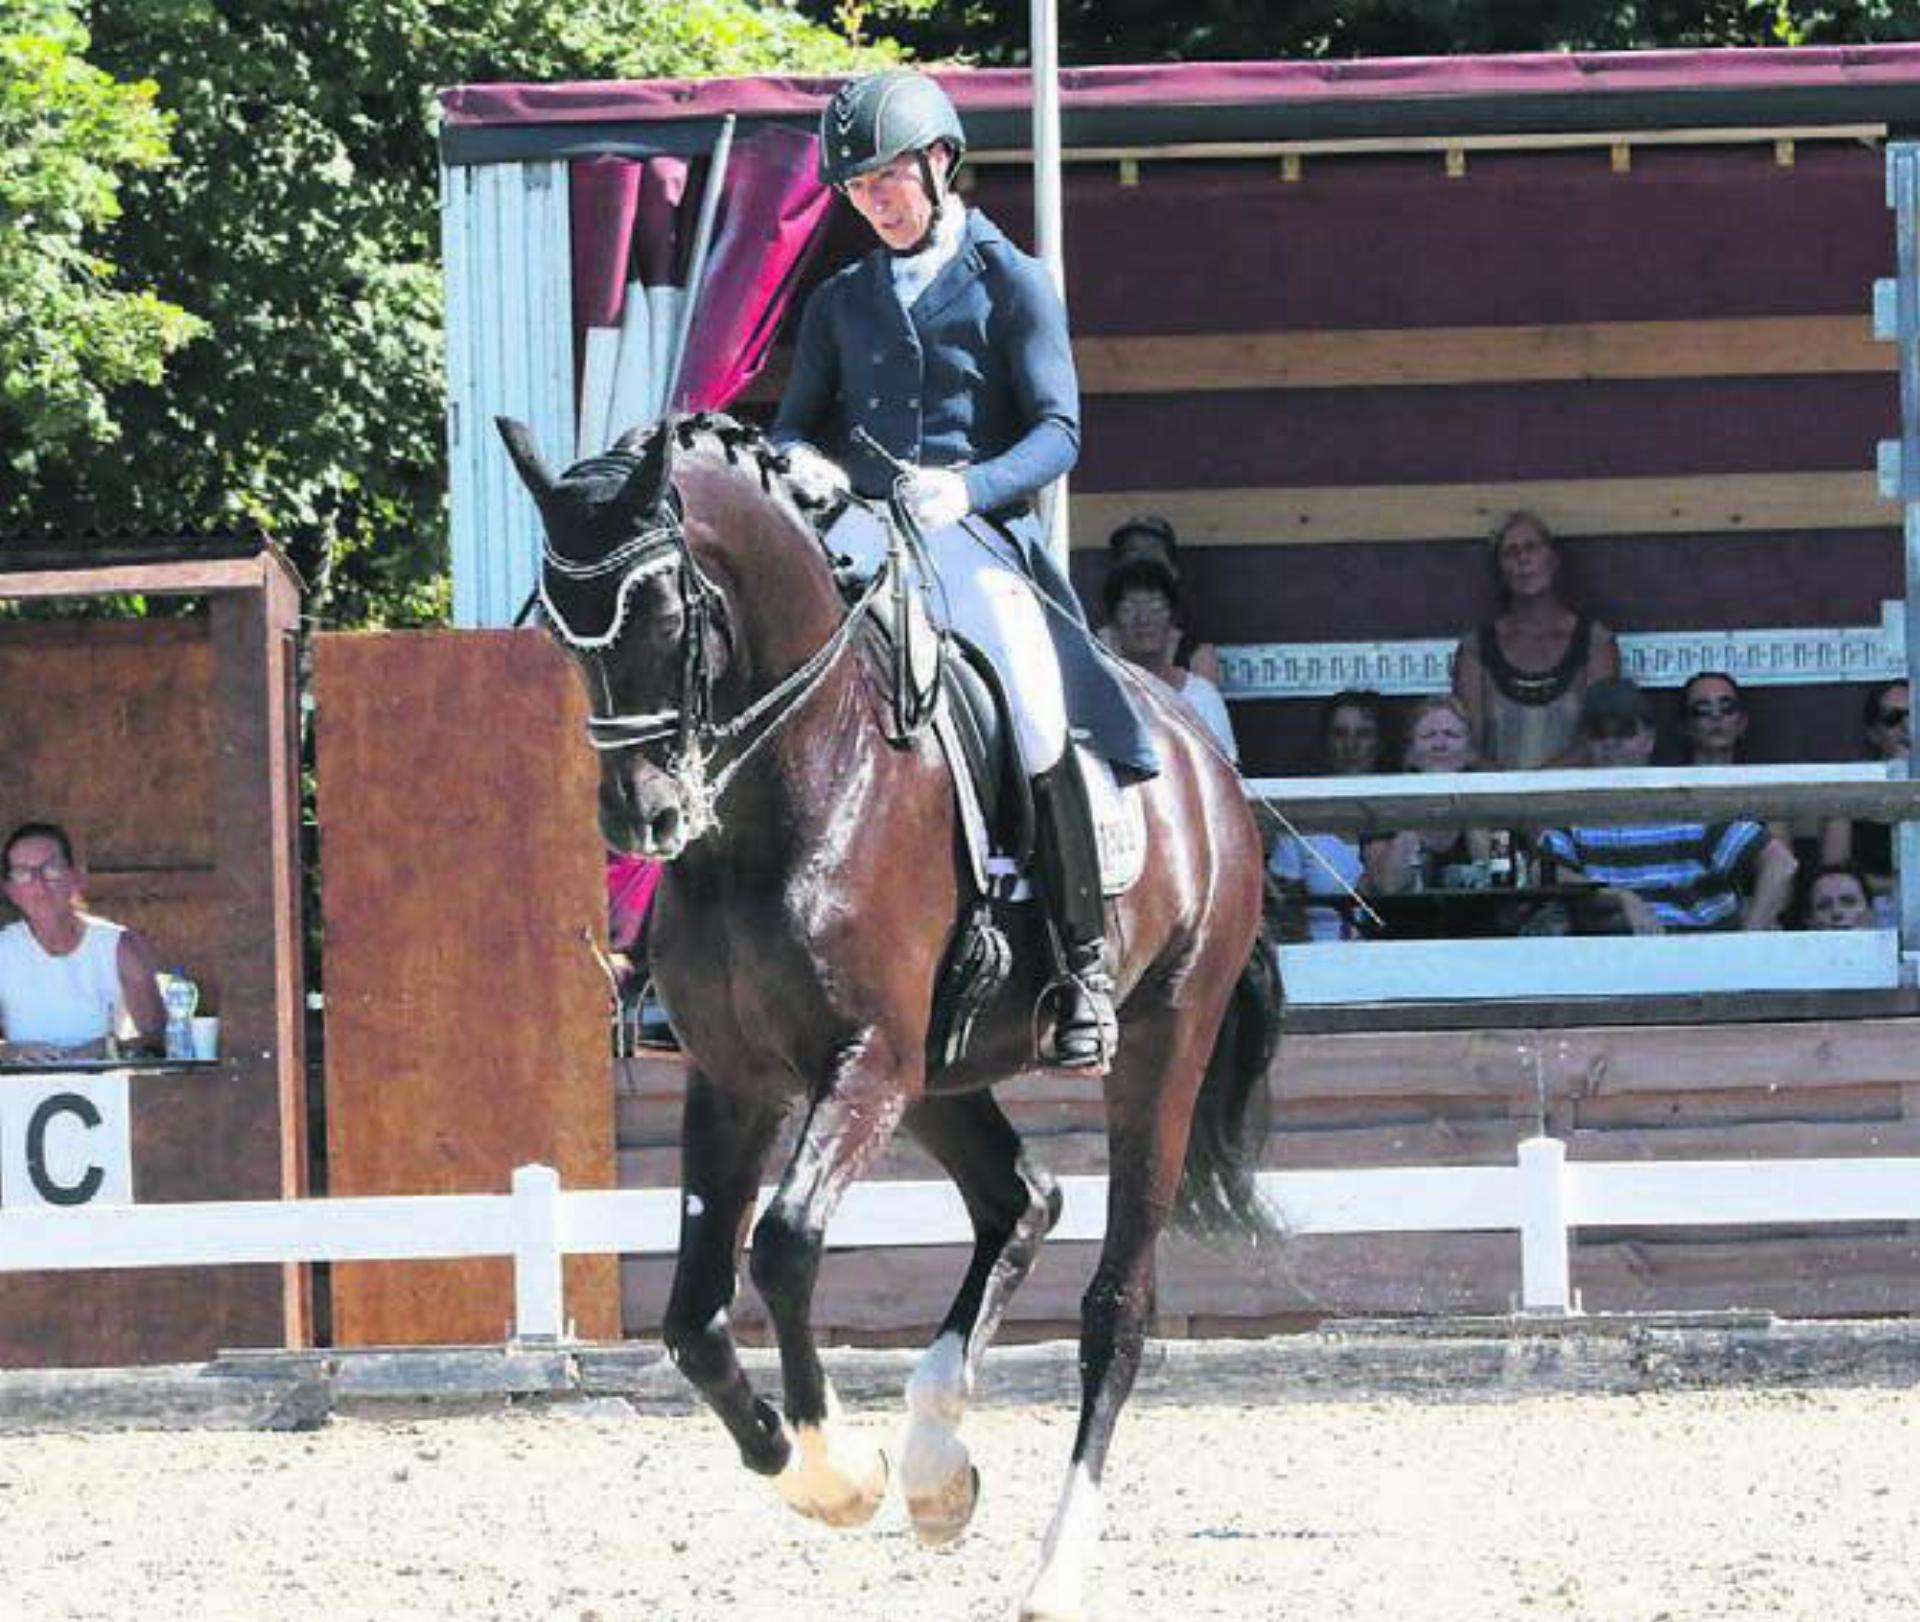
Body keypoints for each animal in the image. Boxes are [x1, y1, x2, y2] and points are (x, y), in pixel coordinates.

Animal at [506, 410, 1290, 1620]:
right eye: (562, 629)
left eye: (670, 611)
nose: (646, 818)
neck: (790, 786)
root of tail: (1208, 769)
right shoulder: (738, 1077)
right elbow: (690, 1317)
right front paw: (826, 1466)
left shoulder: (864, 1058)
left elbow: (783, 1245)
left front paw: (840, 1472)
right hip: (941, 1075)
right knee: (1023, 1200)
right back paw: (938, 1469)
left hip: (1155, 1042)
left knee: (1117, 1304)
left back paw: (1051, 1561)